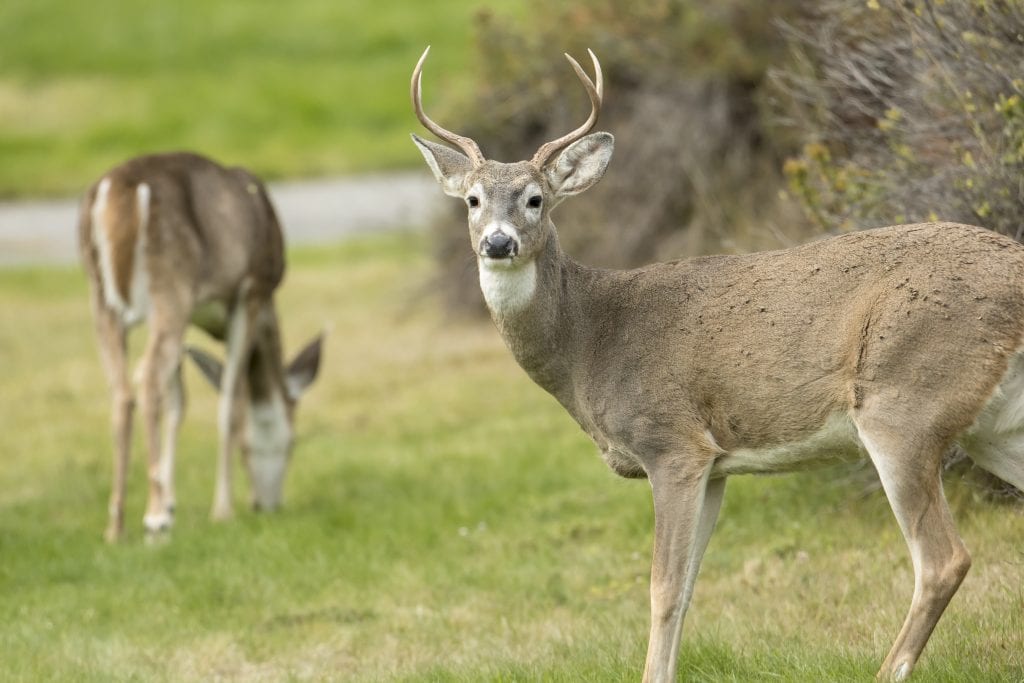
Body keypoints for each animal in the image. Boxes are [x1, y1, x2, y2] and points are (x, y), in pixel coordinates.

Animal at [77, 152, 321, 540]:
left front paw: (173, 503)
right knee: (148, 378)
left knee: (123, 390)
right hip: (170, 284)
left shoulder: (193, 314)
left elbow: (178, 402)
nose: (266, 505)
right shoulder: (251, 290)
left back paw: (116, 527)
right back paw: (153, 517)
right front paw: (220, 510)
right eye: (293, 441)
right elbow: (230, 402)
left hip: (102, 299)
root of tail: (118, 190)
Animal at [407, 45, 1024, 679]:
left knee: (943, 560)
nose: (498, 242)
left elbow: (662, 587)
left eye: (535, 199)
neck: (590, 342)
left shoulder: (673, 444)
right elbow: (688, 588)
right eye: (473, 200)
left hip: (904, 401)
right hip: (993, 427)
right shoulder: (717, 467)